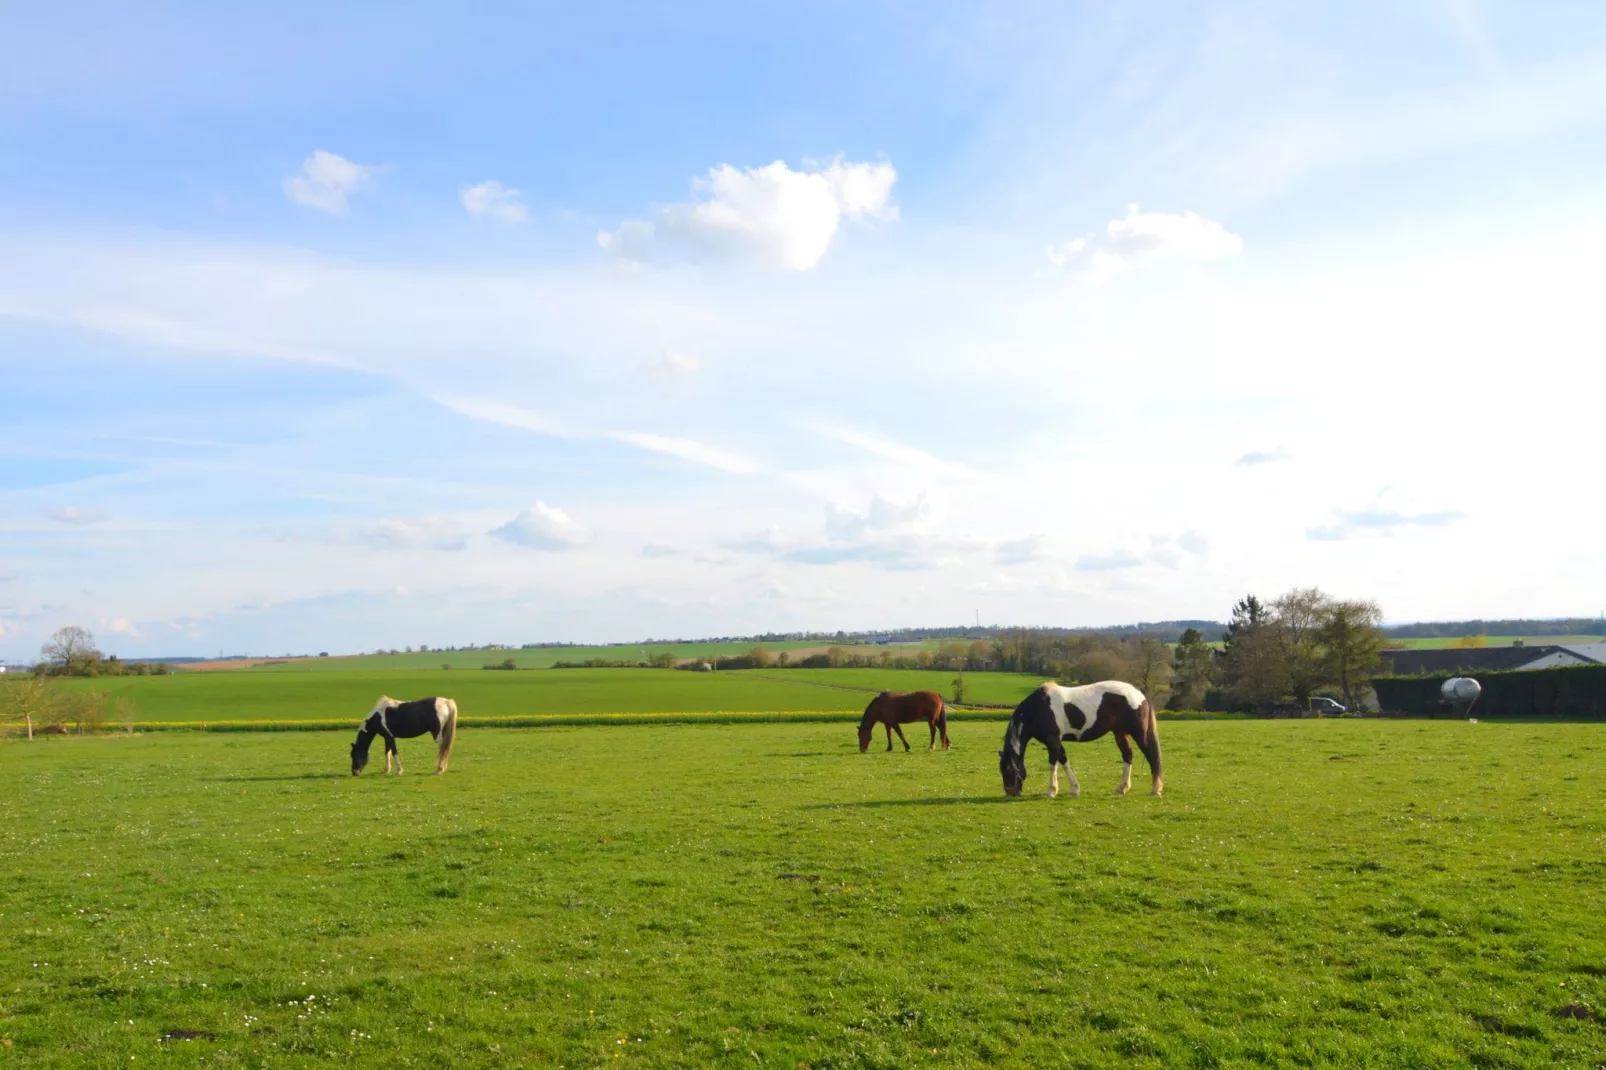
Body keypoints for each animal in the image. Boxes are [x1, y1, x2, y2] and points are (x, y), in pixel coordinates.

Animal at [995, 677, 1162, 796]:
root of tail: (1140, 695)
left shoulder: (1052, 739)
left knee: (1152, 756)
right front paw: (1074, 789)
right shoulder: (1056, 741)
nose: (1011, 793)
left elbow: (1053, 764)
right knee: (1128, 755)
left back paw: (1155, 790)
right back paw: (1122, 788)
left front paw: (1051, 791)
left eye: (1009, 770)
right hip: (1120, 733)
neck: (1039, 708)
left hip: (1138, 733)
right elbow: (1064, 761)